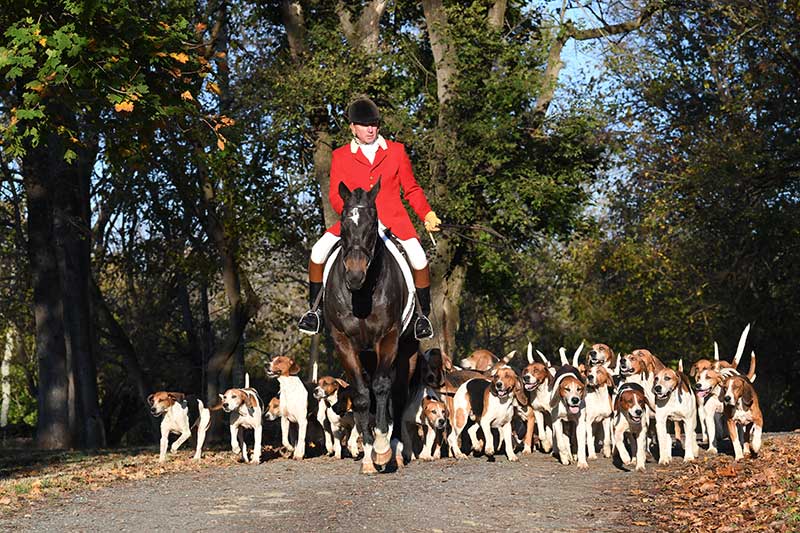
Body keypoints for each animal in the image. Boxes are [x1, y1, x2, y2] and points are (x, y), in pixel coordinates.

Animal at [322, 180, 418, 474]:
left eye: (372, 222)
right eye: (343, 222)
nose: (354, 276)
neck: (362, 294)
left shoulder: (388, 338)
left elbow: (382, 388)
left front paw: (384, 449)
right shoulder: (344, 342)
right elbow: (363, 395)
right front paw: (367, 454)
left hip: (407, 350)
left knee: (397, 394)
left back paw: (395, 446)